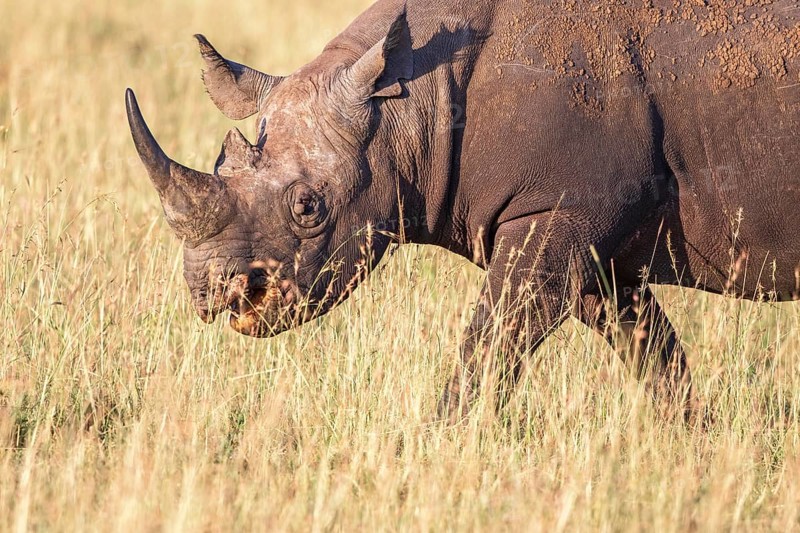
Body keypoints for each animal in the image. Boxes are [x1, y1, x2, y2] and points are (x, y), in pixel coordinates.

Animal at [127, 0, 800, 420]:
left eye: (309, 208)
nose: (213, 292)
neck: (406, 100)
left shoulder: (550, 215)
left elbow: (489, 344)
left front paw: (441, 444)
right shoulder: (586, 235)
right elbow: (651, 350)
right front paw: (695, 443)